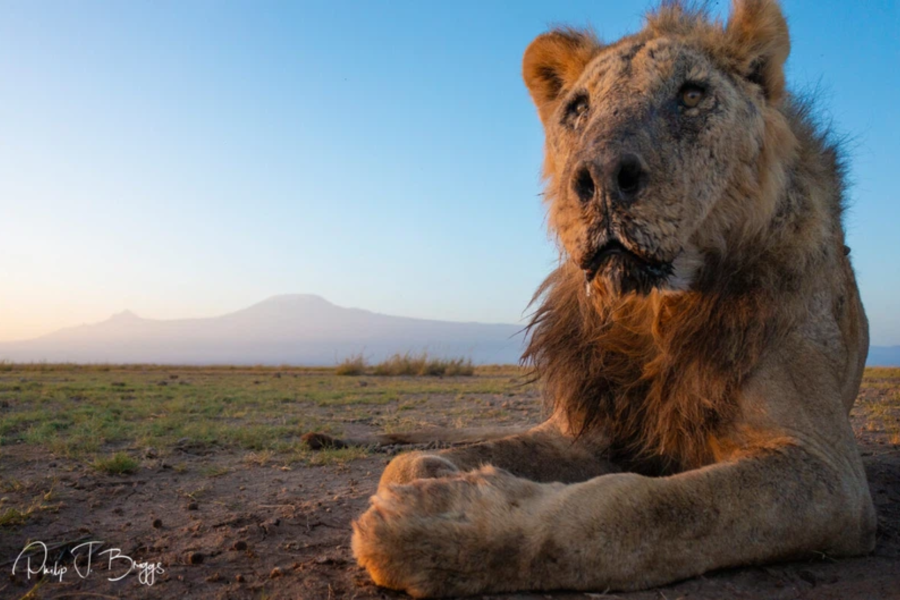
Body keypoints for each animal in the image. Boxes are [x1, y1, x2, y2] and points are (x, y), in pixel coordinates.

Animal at [348, 2, 876, 596]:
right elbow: (408, 464)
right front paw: (436, 473)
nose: (600, 177)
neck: (651, 311)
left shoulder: (828, 471)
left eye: (691, 95)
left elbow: (640, 508)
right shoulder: (586, 428)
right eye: (578, 108)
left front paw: (443, 524)